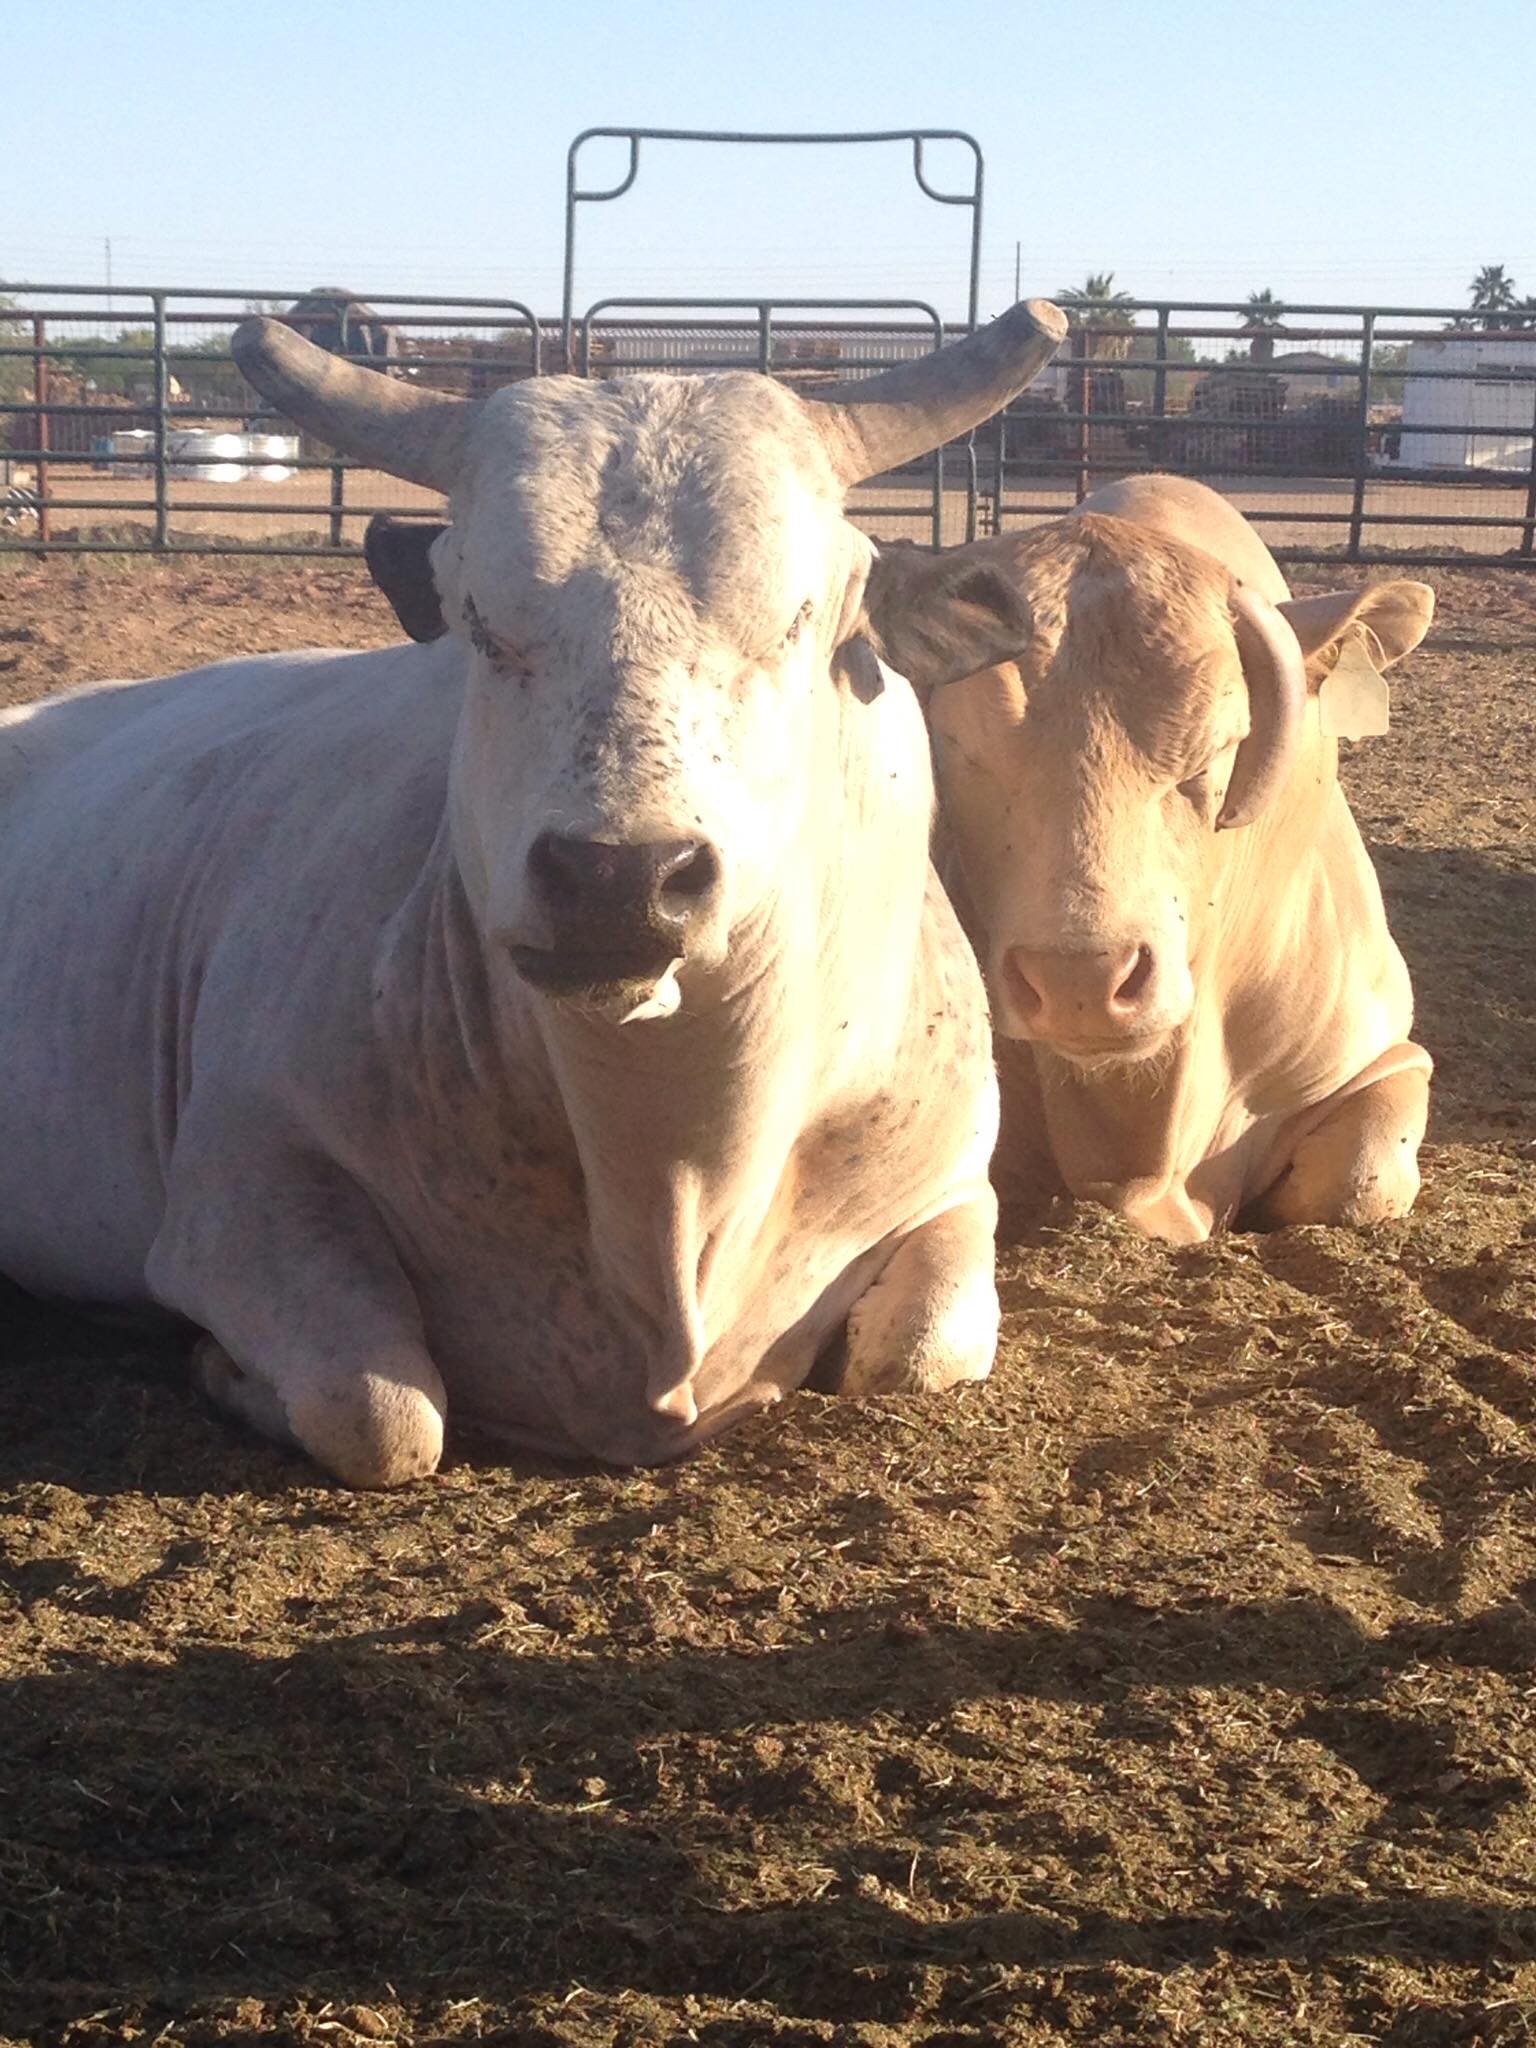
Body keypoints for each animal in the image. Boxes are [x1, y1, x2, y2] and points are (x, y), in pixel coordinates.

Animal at [0, 299, 1067, 1485]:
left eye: (797, 619)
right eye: (480, 621)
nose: (617, 877)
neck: (671, 1174)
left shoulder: (952, 1187)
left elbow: (923, 1349)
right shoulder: (238, 1186)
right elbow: (383, 1414)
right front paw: (222, 1369)